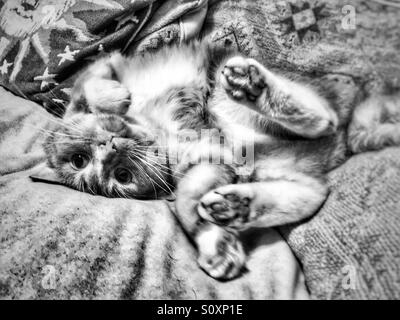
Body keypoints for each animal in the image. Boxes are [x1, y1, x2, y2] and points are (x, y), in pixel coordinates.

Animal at [39, 40, 400, 280]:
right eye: (123, 177)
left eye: (79, 159)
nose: (111, 148)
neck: (157, 129)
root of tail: (349, 137)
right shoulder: (206, 160)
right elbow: (188, 205)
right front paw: (217, 245)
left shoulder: (103, 65)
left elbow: (87, 86)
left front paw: (114, 98)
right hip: (282, 168)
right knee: (312, 186)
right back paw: (236, 205)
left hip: (228, 101)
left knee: (322, 117)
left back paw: (252, 86)